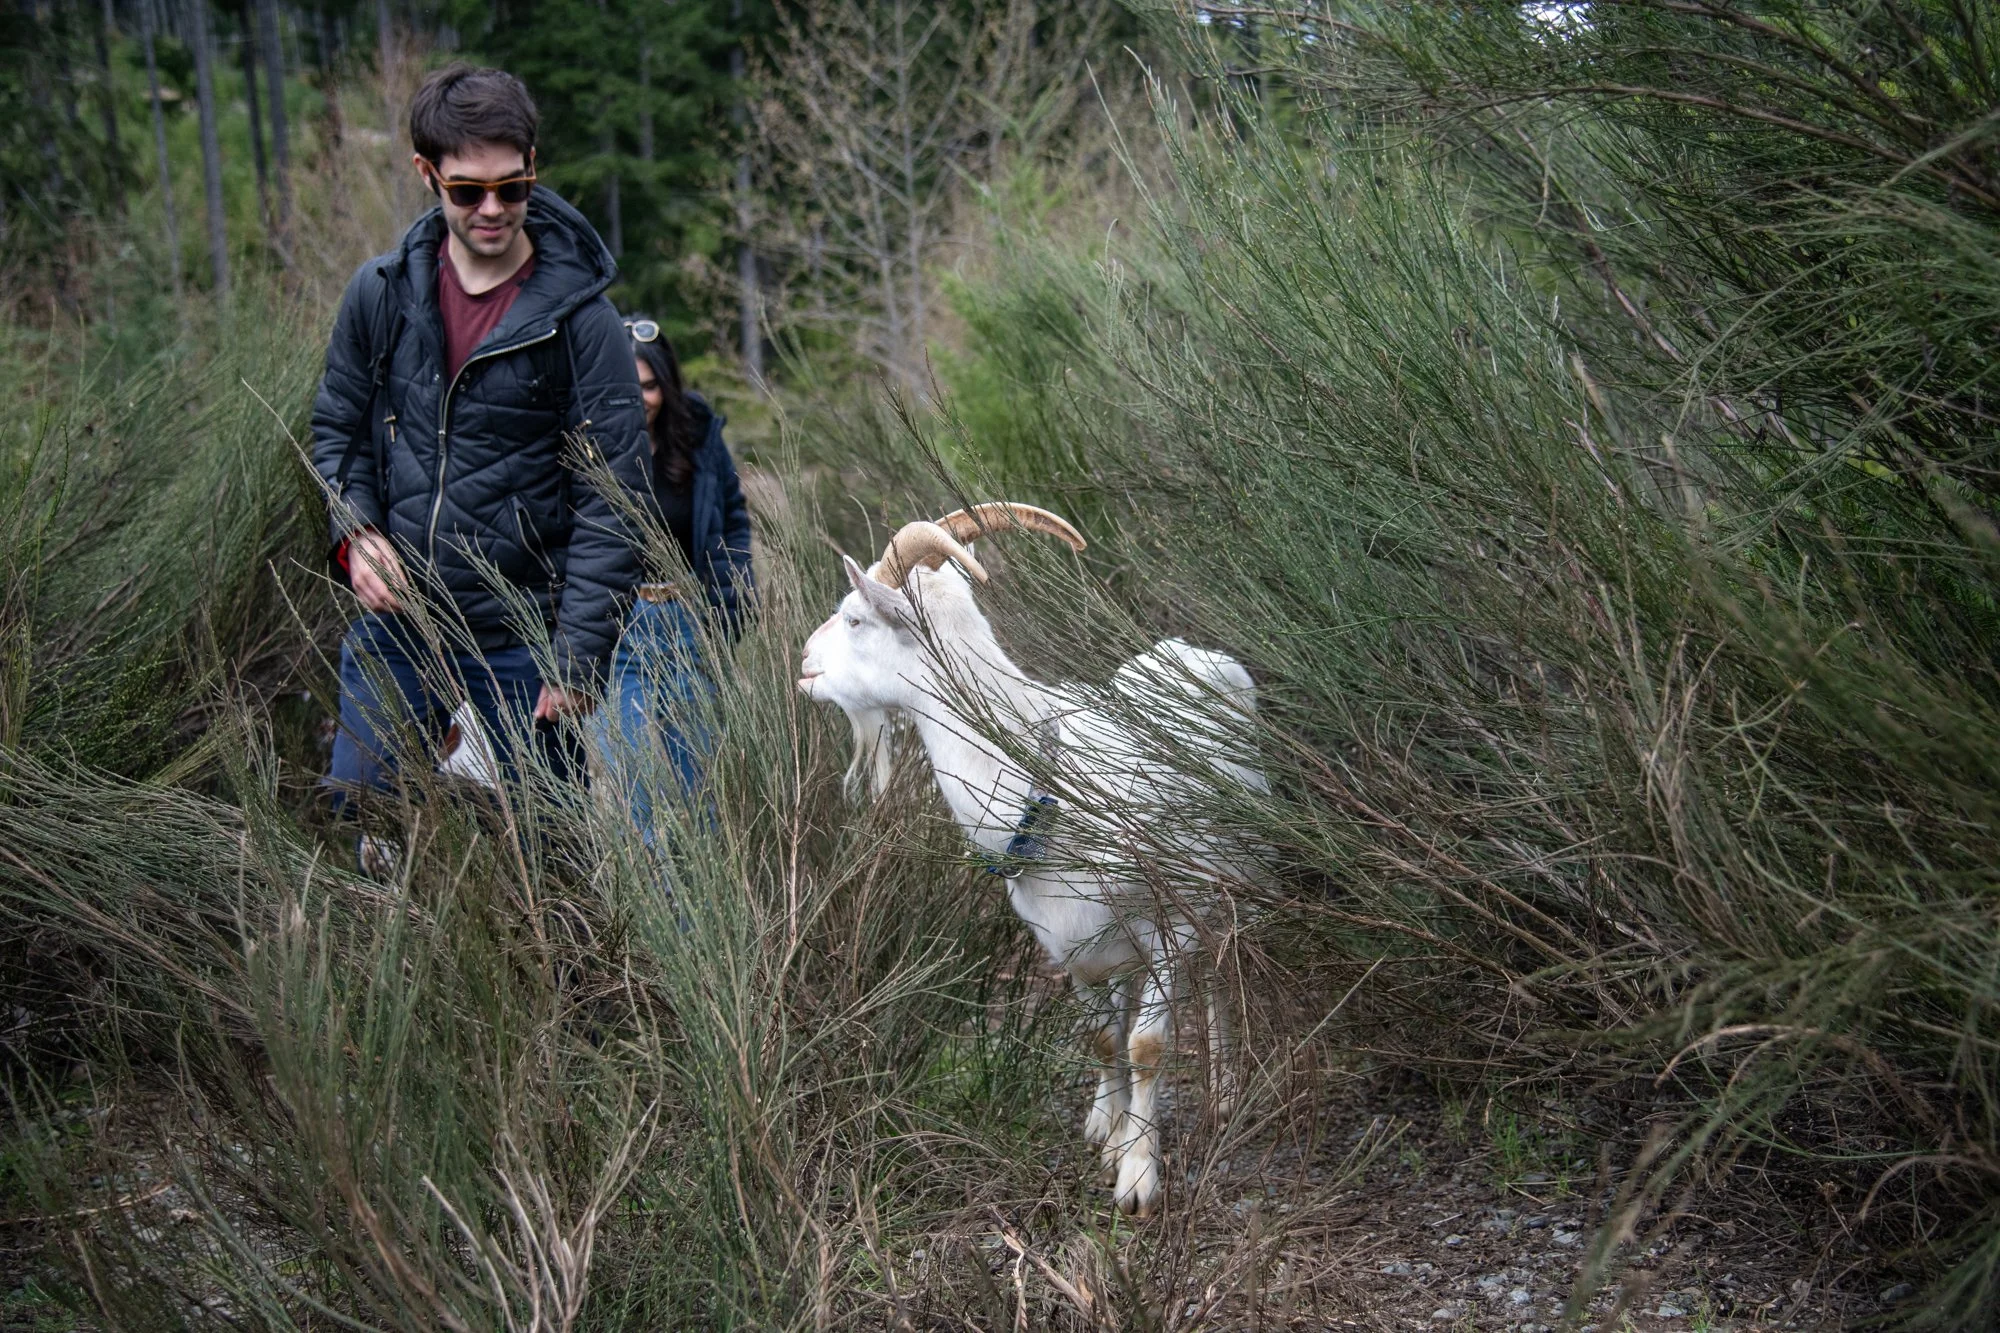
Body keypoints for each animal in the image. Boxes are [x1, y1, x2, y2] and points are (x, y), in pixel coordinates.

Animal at [798, 503, 1265, 1216]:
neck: (1047, 785)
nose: (803, 661)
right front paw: (1115, 1141)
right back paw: (1111, 1116)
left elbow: (1147, 1044)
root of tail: (1195, 652)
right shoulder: (1065, 941)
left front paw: (1139, 1178)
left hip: (1225, 881)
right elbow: (1104, 1039)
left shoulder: (1169, 926)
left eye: (853, 618)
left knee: (1222, 968)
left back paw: (1229, 1089)